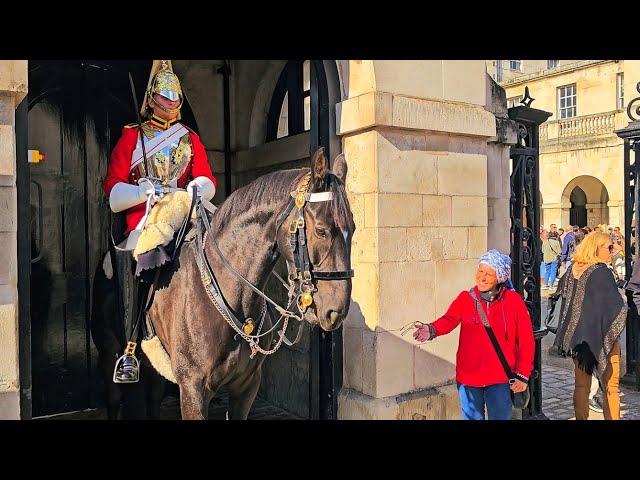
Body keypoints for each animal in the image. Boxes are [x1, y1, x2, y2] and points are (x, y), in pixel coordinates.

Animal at [89, 148, 356, 418]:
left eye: (353, 229)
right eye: (321, 230)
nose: (336, 311)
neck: (230, 293)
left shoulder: (246, 385)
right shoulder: (193, 389)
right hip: (108, 352)